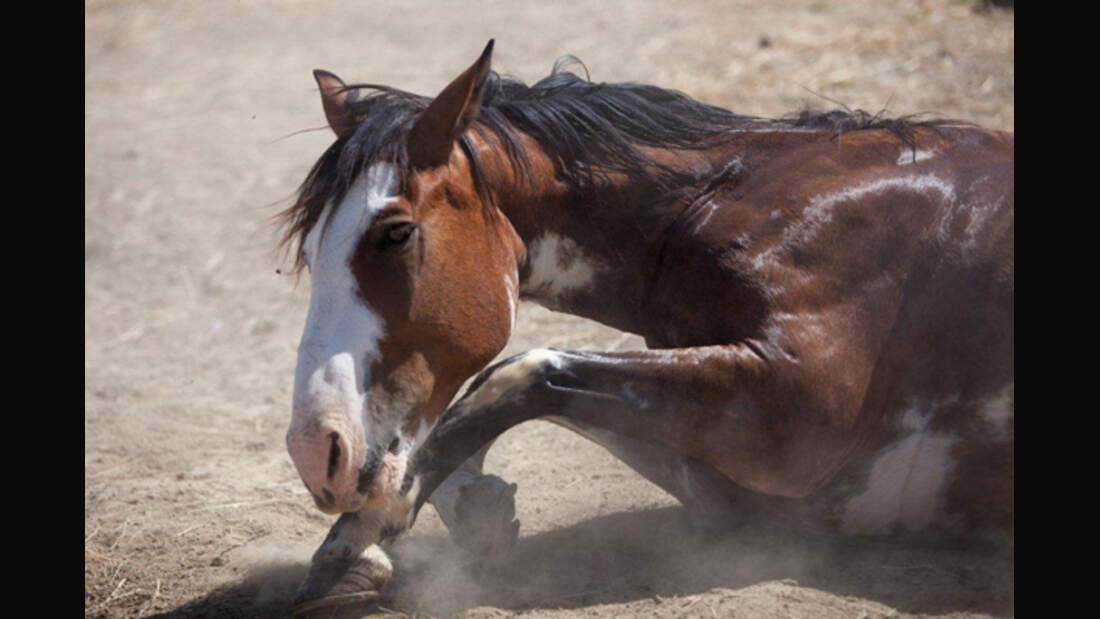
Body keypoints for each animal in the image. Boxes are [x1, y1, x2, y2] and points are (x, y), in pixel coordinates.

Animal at [281, 41, 1012, 611]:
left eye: (396, 233)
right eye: (311, 248)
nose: (318, 453)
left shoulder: (801, 415)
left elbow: (521, 374)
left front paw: (356, 541)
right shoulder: (744, 490)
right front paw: (470, 506)